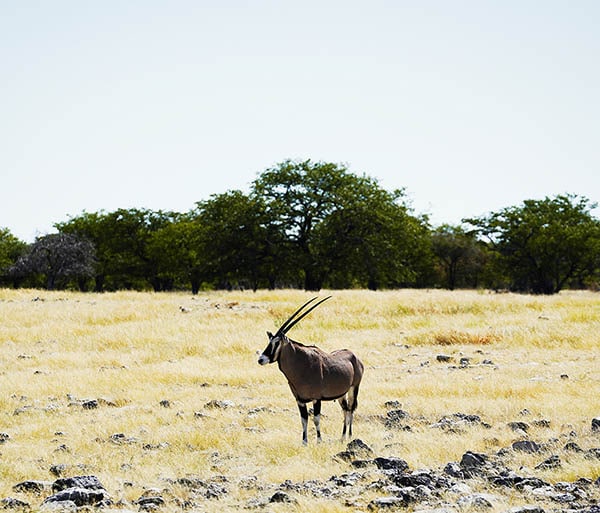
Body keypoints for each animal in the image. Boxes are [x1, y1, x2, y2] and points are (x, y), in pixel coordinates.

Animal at [256, 296, 364, 444]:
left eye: (277, 342)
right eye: (270, 341)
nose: (261, 359)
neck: (302, 365)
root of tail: (355, 357)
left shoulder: (316, 398)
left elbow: (316, 419)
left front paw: (319, 441)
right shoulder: (300, 400)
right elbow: (304, 420)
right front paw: (304, 442)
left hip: (354, 388)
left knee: (351, 409)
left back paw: (349, 436)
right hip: (341, 394)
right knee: (345, 410)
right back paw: (342, 437)